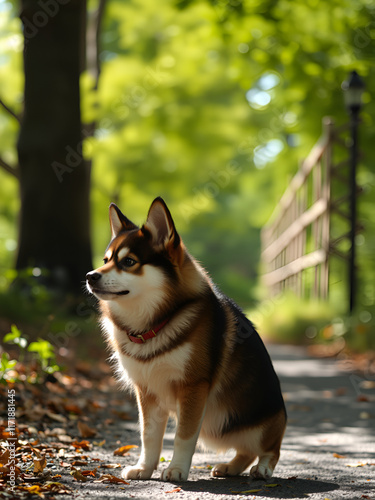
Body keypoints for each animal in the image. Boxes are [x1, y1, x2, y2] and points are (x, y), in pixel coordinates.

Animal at [87, 197, 288, 482]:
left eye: (129, 262)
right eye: (106, 259)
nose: (90, 276)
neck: (155, 323)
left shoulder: (193, 387)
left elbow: (183, 435)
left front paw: (176, 469)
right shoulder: (146, 390)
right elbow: (148, 435)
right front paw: (145, 467)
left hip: (261, 425)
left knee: (270, 449)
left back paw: (262, 468)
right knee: (246, 451)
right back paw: (230, 466)